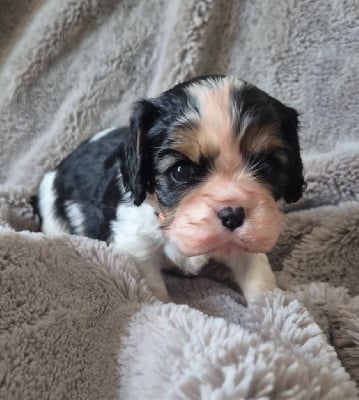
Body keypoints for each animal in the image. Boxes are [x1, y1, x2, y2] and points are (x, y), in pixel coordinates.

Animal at [34, 75, 306, 302]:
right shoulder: (136, 247)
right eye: (180, 170)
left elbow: (258, 274)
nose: (233, 215)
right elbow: (152, 288)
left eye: (267, 166)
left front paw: (271, 307)